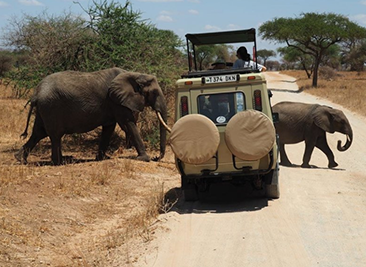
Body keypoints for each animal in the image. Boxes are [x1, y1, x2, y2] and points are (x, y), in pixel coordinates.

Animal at [15, 68, 170, 165]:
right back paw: (58, 162)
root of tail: (36, 93)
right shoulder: (115, 100)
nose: (157, 157)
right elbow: (128, 123)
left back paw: (20, 159)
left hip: (44, 109)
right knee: (54, 135)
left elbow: (109, 128)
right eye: (154, 93)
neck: (134, 74)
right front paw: (144, 159)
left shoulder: (113, 103)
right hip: (51, 107)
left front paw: (103, 158)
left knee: (39, 133)